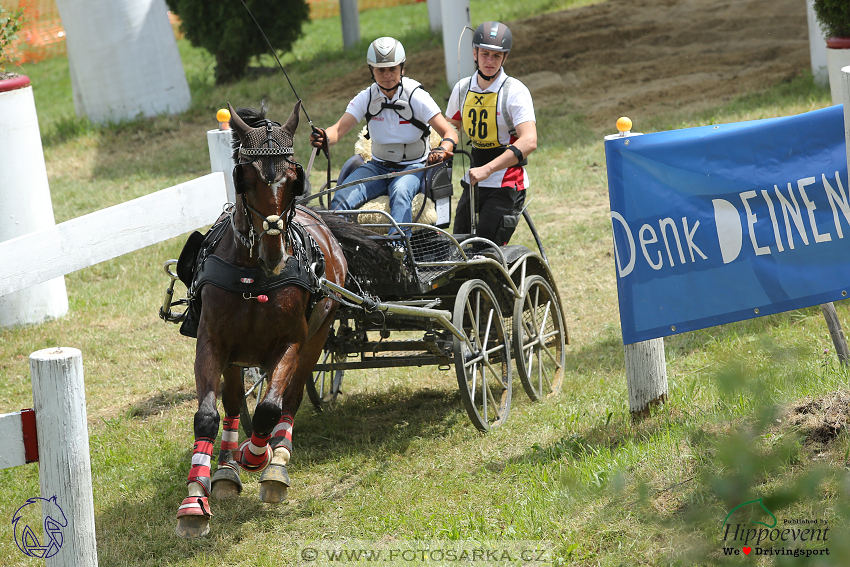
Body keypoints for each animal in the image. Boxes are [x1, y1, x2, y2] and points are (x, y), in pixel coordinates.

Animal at [176, 100, 352, 540]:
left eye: (292, 179)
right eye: (246, 178)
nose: (275, 252)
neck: (254, 272)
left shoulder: (292, 342)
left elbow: (271, 407)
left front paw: (258, 457)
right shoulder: (213, 342)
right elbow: (208, 415)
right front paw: (195, 500)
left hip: (318, 336)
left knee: (290, 398)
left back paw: (276, 462)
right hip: (238, 355)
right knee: (234, 402)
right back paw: (224, 469)